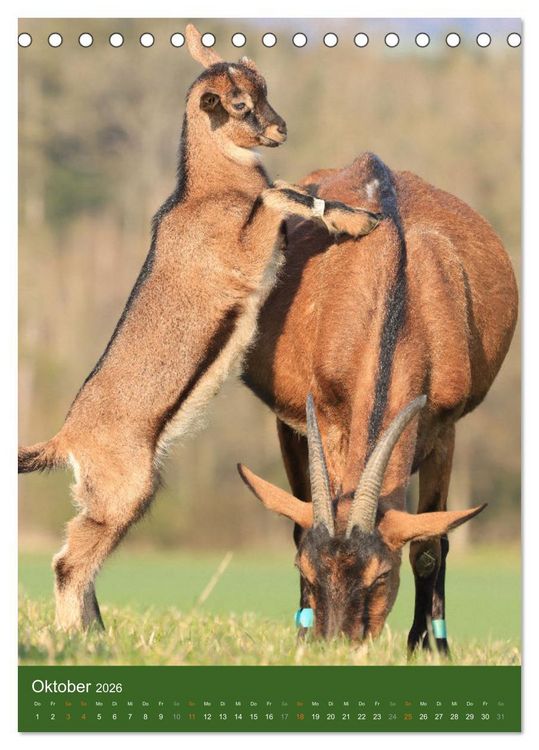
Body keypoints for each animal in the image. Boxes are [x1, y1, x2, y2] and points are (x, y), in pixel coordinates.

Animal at [18, 26, 379, 631]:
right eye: (237, 104)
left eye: (262, 90)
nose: (280, 128)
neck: (209, 192)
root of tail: (66, 439)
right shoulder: (245, 260)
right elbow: (278, 191)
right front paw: (357, 219)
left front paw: (357, 217)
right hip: (124, 490)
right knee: (69, 562)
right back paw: (76, 636)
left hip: (110, 498)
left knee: (81, 559)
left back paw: (96, 635)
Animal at [239, 152, 518, 651]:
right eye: (305, 570)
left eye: (381, 575)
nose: (336, 643)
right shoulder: (328, 418)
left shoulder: (443, 425)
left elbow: (430, 544)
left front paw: (428, 645)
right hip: (289, 425)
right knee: (296, 518)